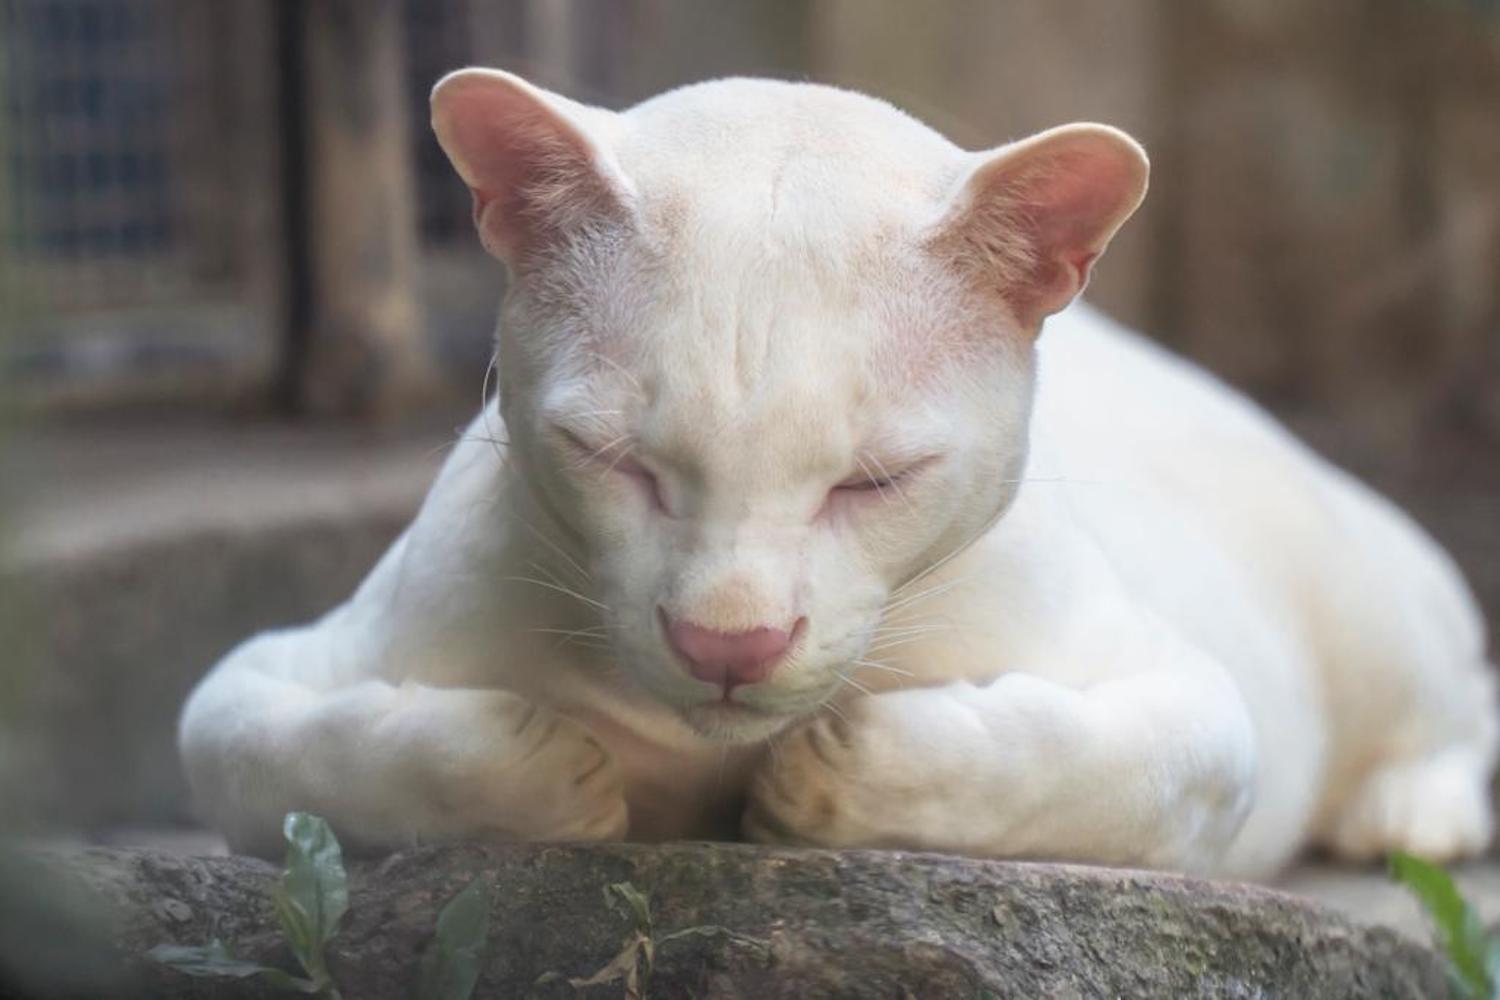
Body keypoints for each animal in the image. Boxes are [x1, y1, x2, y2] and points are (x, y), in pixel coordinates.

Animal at [178, 68, 1500, 875]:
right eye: (616, 461)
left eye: (874, 481)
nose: (729, 642)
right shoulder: (274, 671)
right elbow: (284, 754)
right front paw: (543, 772)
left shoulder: (1189, 694)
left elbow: (1087, 765)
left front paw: (832, 775)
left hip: (1369, 600)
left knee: (1456, 695)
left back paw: (1412, 811)